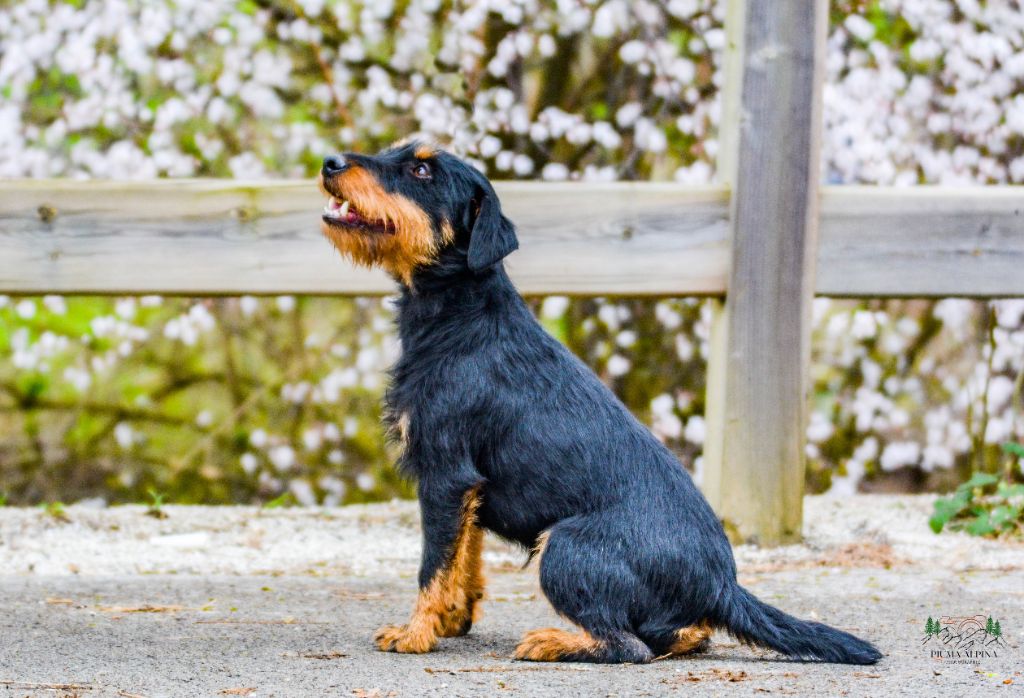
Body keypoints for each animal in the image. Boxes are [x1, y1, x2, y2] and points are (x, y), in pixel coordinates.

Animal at [317, 141, 880, 663]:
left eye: (421, 169)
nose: (330, 163)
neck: (461, 316)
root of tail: (721, 586)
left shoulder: (445, 475)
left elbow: (433, 564)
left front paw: (415, 634)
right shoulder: (467, 488)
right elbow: (465, 556)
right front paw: (452, 620)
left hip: (564, 546)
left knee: (627, 645)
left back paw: (551, 642)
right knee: (677, 635)